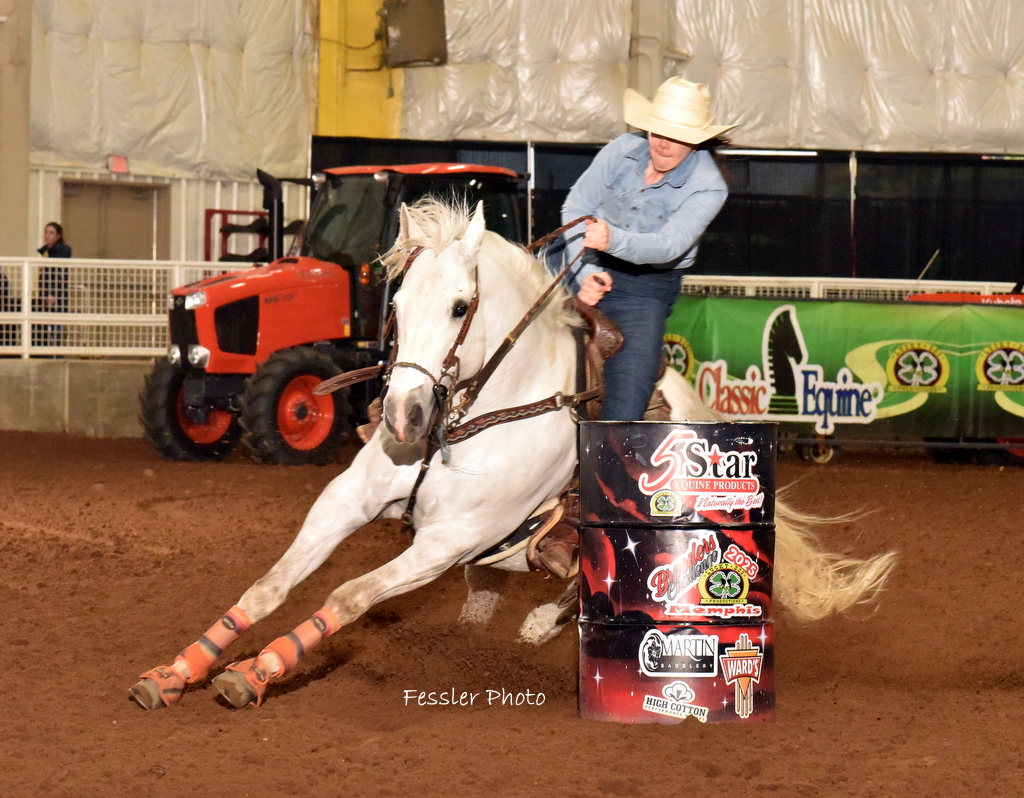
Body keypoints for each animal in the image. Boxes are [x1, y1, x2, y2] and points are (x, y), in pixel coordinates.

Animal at [130, 199, 896, 711]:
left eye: (460, 306)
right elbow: (269, 585)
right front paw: (174, 673)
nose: (402, 416)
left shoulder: (450, 539)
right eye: (397, 302)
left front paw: (253, 673)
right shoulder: (348, 498)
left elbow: (347, 596)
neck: (470, 415)